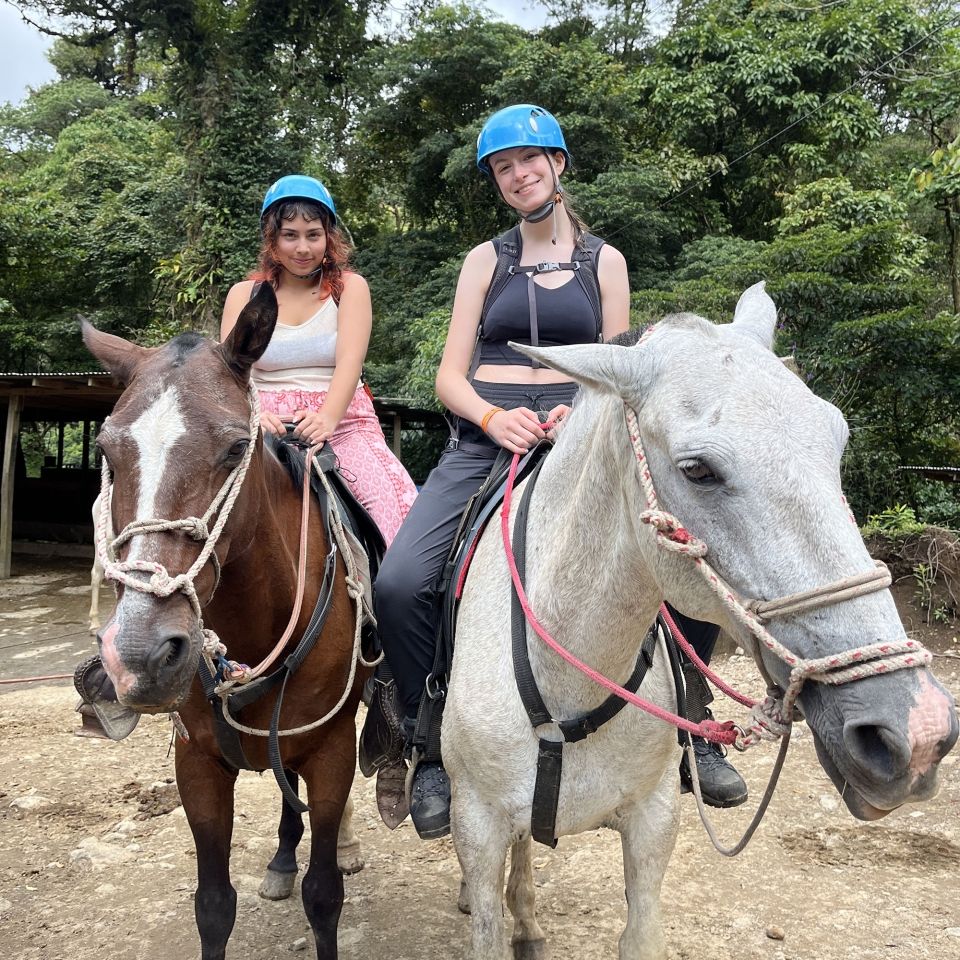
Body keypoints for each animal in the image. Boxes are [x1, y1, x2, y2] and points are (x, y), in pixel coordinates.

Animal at [82, 284, 366, 960]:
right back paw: (282, 862)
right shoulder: (198, 764)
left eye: (237, 446)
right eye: (107, 452)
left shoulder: (333, 751)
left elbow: (325, 896)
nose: (142, 655)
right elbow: (213, 906)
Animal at [446, 284, 956, 960]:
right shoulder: (478, 826)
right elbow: (486, 909)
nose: (918, 731)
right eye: (697, 471)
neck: (563, 683)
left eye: (837, 441)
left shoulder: (653, 821)